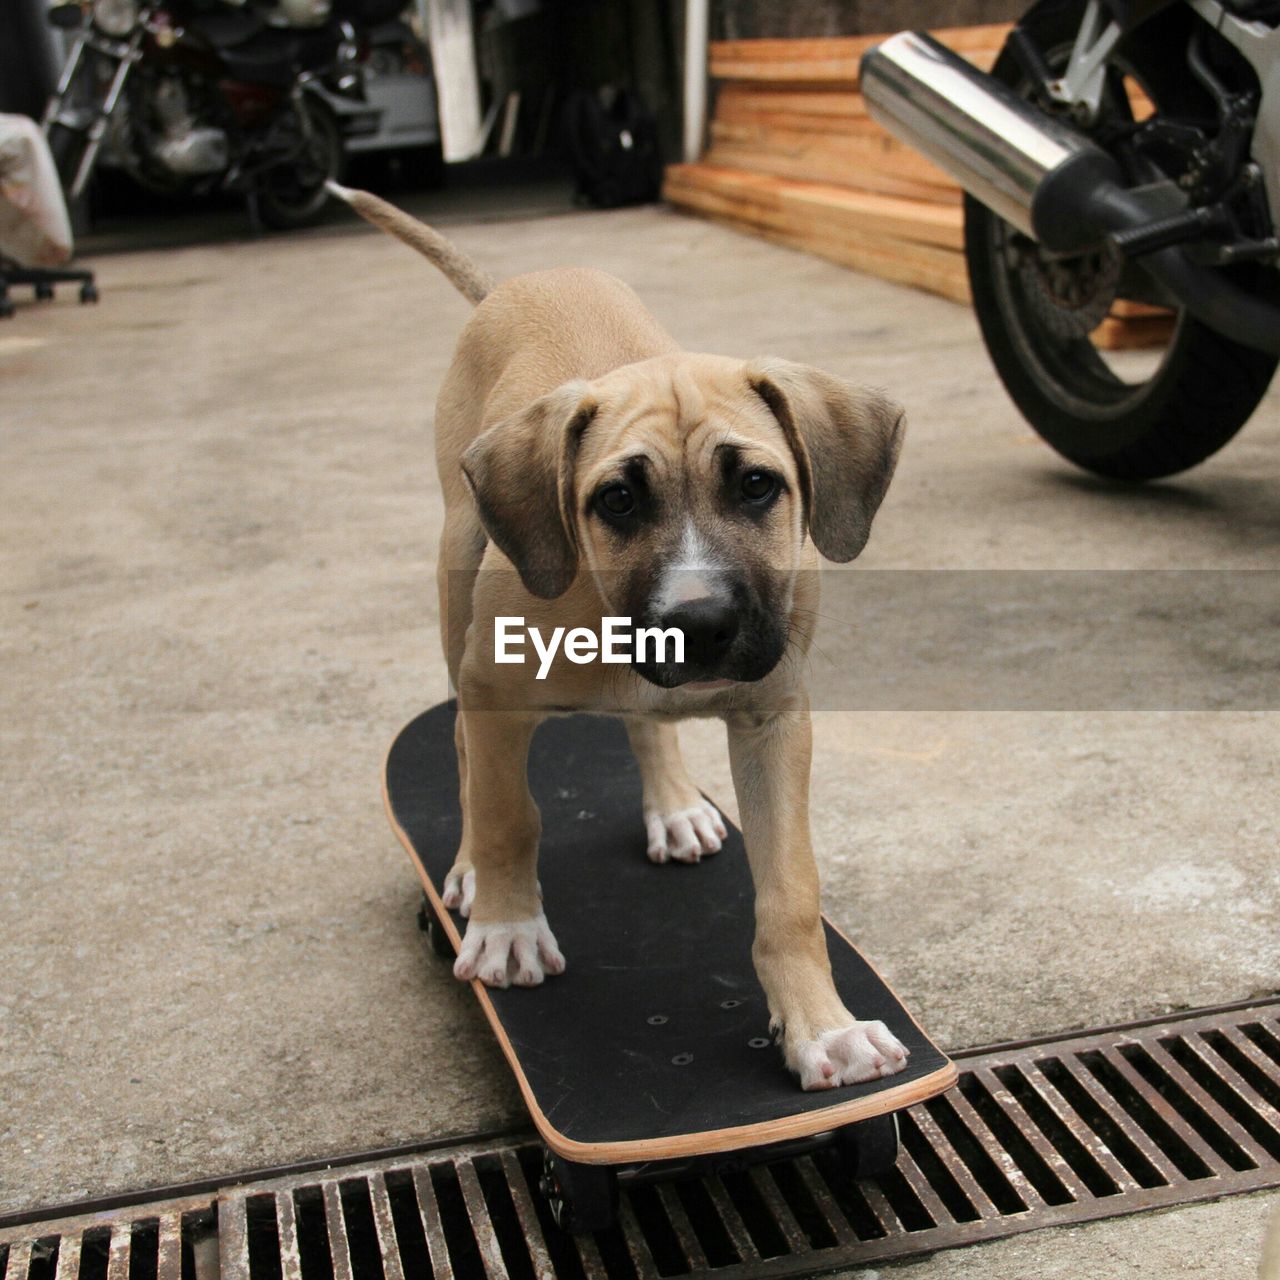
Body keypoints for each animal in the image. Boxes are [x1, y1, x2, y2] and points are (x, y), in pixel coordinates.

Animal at [330, 183, 911, 1090]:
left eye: (757, 485)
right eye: (617, 501)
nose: (698, 625)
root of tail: (515, 282)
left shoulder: (774, 715)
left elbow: (791, 889)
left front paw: (824, 1028)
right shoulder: (493, 687)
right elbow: (507, 809)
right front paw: (508, 928)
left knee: (645, 724)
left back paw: (673, 805)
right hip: (457, 574)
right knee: (462, 744)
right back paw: (468, 871)